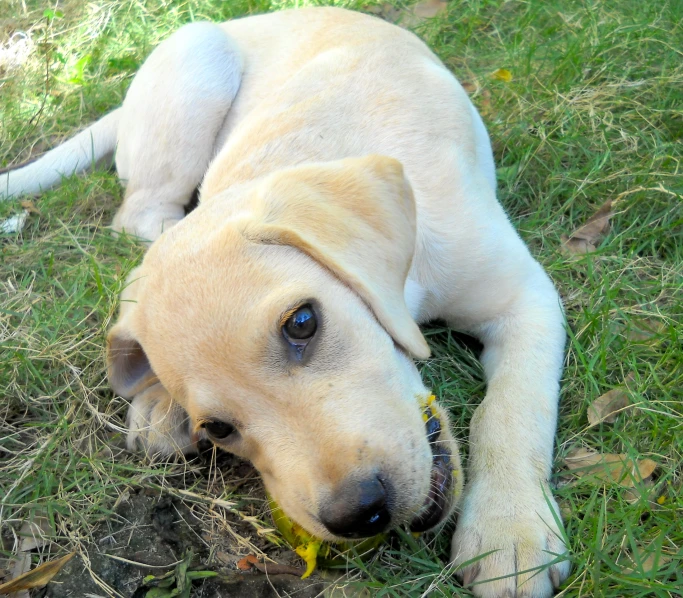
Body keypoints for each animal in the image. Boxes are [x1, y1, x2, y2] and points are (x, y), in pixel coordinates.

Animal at [1, 7, 572, 596]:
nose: (359, 513)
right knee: (138, 220)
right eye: (219, 428)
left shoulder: (525, 298)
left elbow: (510, 411)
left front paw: (510, 533)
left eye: (302, 322)